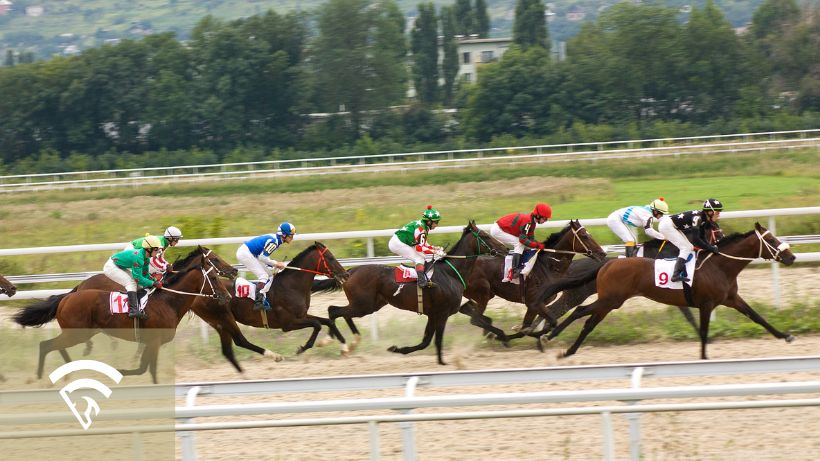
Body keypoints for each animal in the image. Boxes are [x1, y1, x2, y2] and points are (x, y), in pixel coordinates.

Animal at [318, 221, 510, 364]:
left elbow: (426, 341)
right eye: (485, 236)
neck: (450, 272)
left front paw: (398, 349)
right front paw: (442, 362)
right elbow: (436, 340)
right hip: (362, 305)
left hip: (369, 305)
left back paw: (350, 344)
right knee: (333, 310)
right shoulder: (442, 313)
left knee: (340, 312)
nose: (505, 249)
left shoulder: (433, 314)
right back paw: (334, 342)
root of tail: (350, 271)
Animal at [462, 219, 608, 342]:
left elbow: (530, 327)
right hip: (482, 293)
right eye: (584, 236)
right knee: (473, 316)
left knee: (467, 309)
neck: (548, 265)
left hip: (484, 294)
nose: (602, 253)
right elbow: (543, 324)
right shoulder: (533, 303)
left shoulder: (537, 304)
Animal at [544, 223, 796, 360]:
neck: (719, 266)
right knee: (581, 312)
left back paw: (564, 347)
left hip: (610, 301)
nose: (791, 256)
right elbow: (703, 329)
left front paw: (785, 336)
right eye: (772, 239)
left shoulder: (731, 298)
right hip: (611, 300)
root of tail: (607, 263)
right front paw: (704, 356)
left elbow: (757, 317)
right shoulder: (706, 304)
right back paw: (551, 339)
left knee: (586, 319)